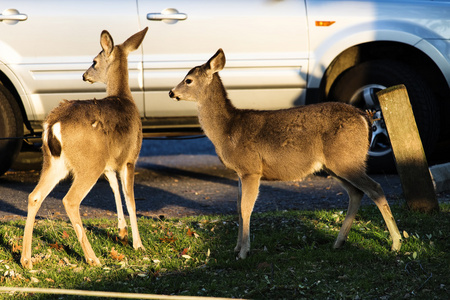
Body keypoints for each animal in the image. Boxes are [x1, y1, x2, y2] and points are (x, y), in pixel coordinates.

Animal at [21, 28, 149, 270]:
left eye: (94, 61)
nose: (84, 75)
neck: (125, 98)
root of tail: (53, 124)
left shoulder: (109, 164)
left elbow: (115, 190)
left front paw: (122, 232)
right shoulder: (130, 158)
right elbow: (131, 199)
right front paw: (138, 244)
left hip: (55, 162)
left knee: (34, 196)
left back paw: (26, 260)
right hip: (88, 164)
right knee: (70, 201)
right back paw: (92, 258)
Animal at [171, 48, 402, 258]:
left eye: (188, 80)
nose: (171, 93)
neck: (227, 130)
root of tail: (365, 117)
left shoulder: (251, 169)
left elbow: (246, 209)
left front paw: (244, 252)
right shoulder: (239, 172)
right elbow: (238, 208)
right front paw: (236, 248)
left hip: (346, 159)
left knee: (375, 188)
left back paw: (396, 243)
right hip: (336, 164)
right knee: (356, 193)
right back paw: (339, 242)